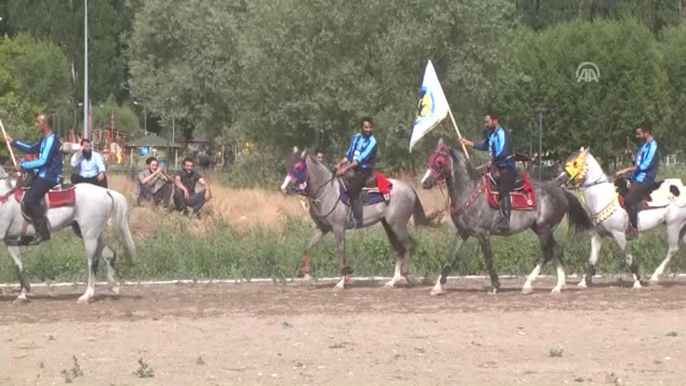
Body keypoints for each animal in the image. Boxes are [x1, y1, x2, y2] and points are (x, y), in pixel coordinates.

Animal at [0, 167, 136, 304]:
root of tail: (105, 191)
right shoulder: (9, 240)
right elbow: (18, 266)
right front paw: (22, 295)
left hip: (89, 235)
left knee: (93, 261)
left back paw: (87, 295)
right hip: (91, 233)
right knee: (108, 254)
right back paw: (113, 287)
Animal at [284, 148, 440, 290]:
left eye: (298, 167)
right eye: (289, 164)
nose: (284, 187)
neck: (328, 191)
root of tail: (409, 188)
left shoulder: (338, 228)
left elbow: (341, 250)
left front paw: (341, 281)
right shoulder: (322, 228)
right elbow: (307, 246)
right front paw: (306, 274)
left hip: (398, 225)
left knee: (408, 244)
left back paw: (405, 274)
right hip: (388, 225)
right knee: (398, 249)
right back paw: (393, 281)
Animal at [422, 140, 592, 294]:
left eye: (439, 161)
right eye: (430, 158)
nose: (424, 182)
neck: (469, 190)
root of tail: (561, 192)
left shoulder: (483, 234)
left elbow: (488, 259)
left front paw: (495, 286)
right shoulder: (462, 233)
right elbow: (450, 257)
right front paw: (437, 286)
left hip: (545, 228)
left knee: (547, 253)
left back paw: (530, 285)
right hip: (540, 229)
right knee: (556, 250)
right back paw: (558, 286)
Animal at [560, 148, 686, 290]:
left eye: (575, 163)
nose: (559, 179)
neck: (601, 196)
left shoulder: (619, 234)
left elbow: (628, 257)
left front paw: (638, 281)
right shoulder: (597, 234)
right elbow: (593, 258)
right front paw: (584, 282)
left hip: (673, 225)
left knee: (673, 249)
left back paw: (655, 276)